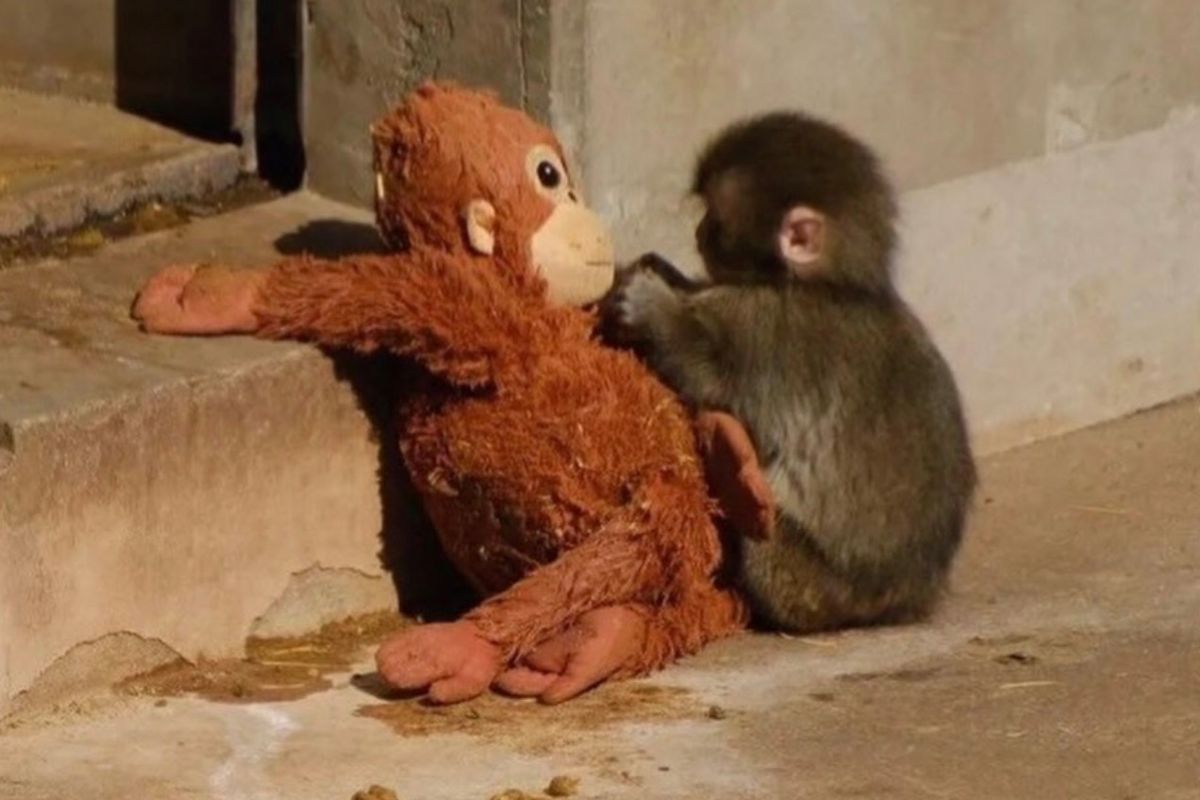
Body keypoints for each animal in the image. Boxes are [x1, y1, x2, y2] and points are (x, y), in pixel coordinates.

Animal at [601, 111, 977, 632]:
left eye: (715, 219)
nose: (698, 232)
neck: (830, 286)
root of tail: (900, 602)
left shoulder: (766, 328)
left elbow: (708, 375)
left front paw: (653, 307)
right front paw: (666, 274)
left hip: (806, 586)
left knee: (763, 534)